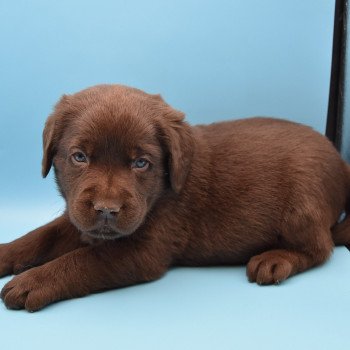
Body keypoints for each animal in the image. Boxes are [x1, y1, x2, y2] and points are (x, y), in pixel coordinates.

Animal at [0, 84, 350, 312]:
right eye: (80, 157)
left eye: (141, 163)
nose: (106, 210)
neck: (159, 195)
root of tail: (340, 162)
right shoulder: (79, 215)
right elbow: (40, 236)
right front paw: (6, 253)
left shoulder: (144, 251)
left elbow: (84, 259)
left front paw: (33, 281)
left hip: (303, 203)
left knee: (322, 247)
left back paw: (275, 260)